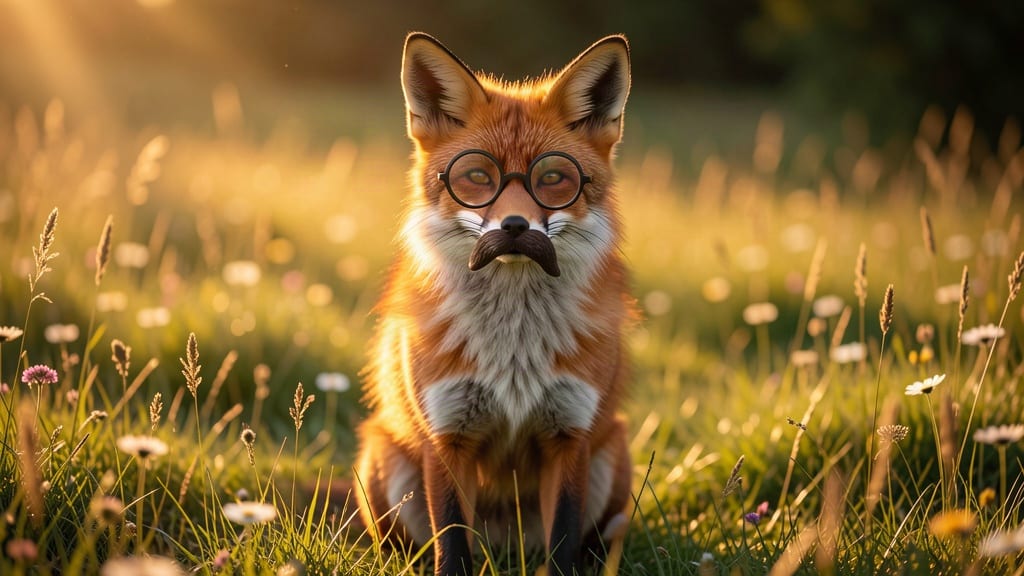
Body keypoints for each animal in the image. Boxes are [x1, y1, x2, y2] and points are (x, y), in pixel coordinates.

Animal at [355, 32, 634, 576]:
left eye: (554, 179)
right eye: (478, 177)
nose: (515, 227)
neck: (514, 346)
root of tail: (503, 544)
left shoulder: (569, 436)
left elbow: (563, 543)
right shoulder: (447, 437)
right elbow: (450, 544)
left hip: (612, 454)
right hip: (384, 459)